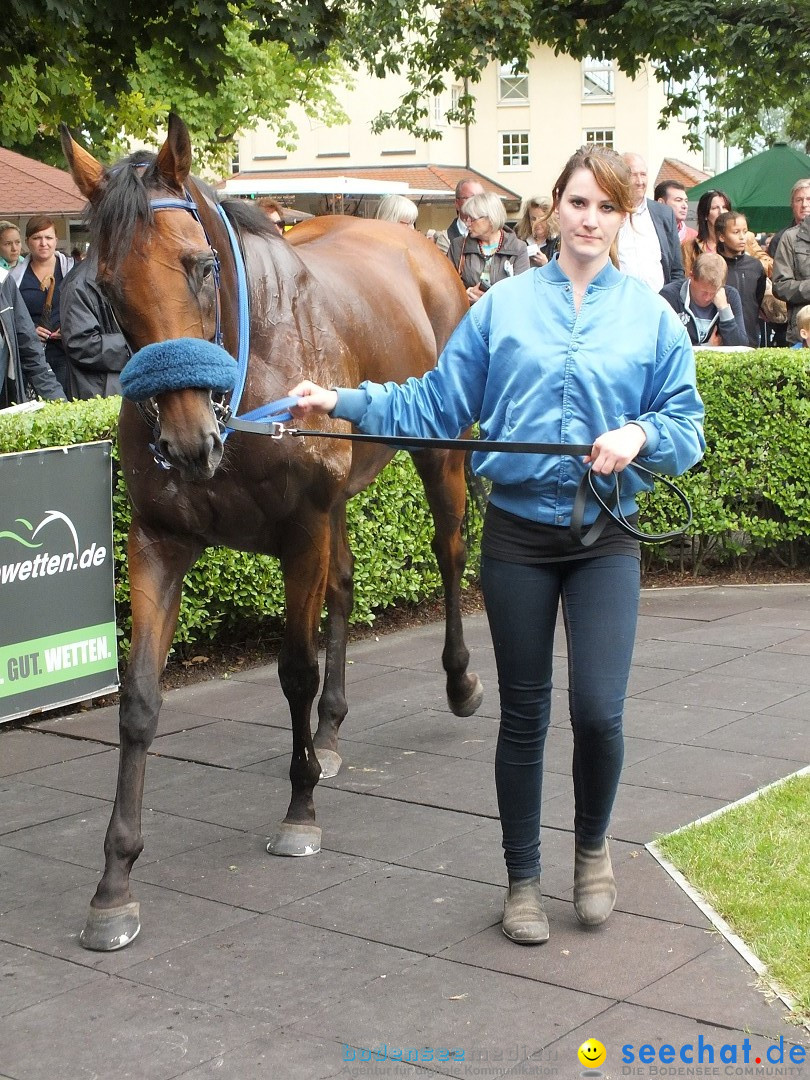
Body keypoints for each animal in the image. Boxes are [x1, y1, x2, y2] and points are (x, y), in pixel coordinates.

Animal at [63, 113, 486, 950]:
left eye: (199, 266)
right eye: (106, 288)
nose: (187, 441)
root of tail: (421, 247)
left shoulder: (301, 529)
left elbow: (294, 670)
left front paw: (300, 812)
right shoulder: (159, 541)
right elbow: (139, 699)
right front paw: (114, 882)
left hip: (440, 452)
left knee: (450, 552)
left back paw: (457, 683)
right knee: (347, 586)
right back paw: (329, 737)